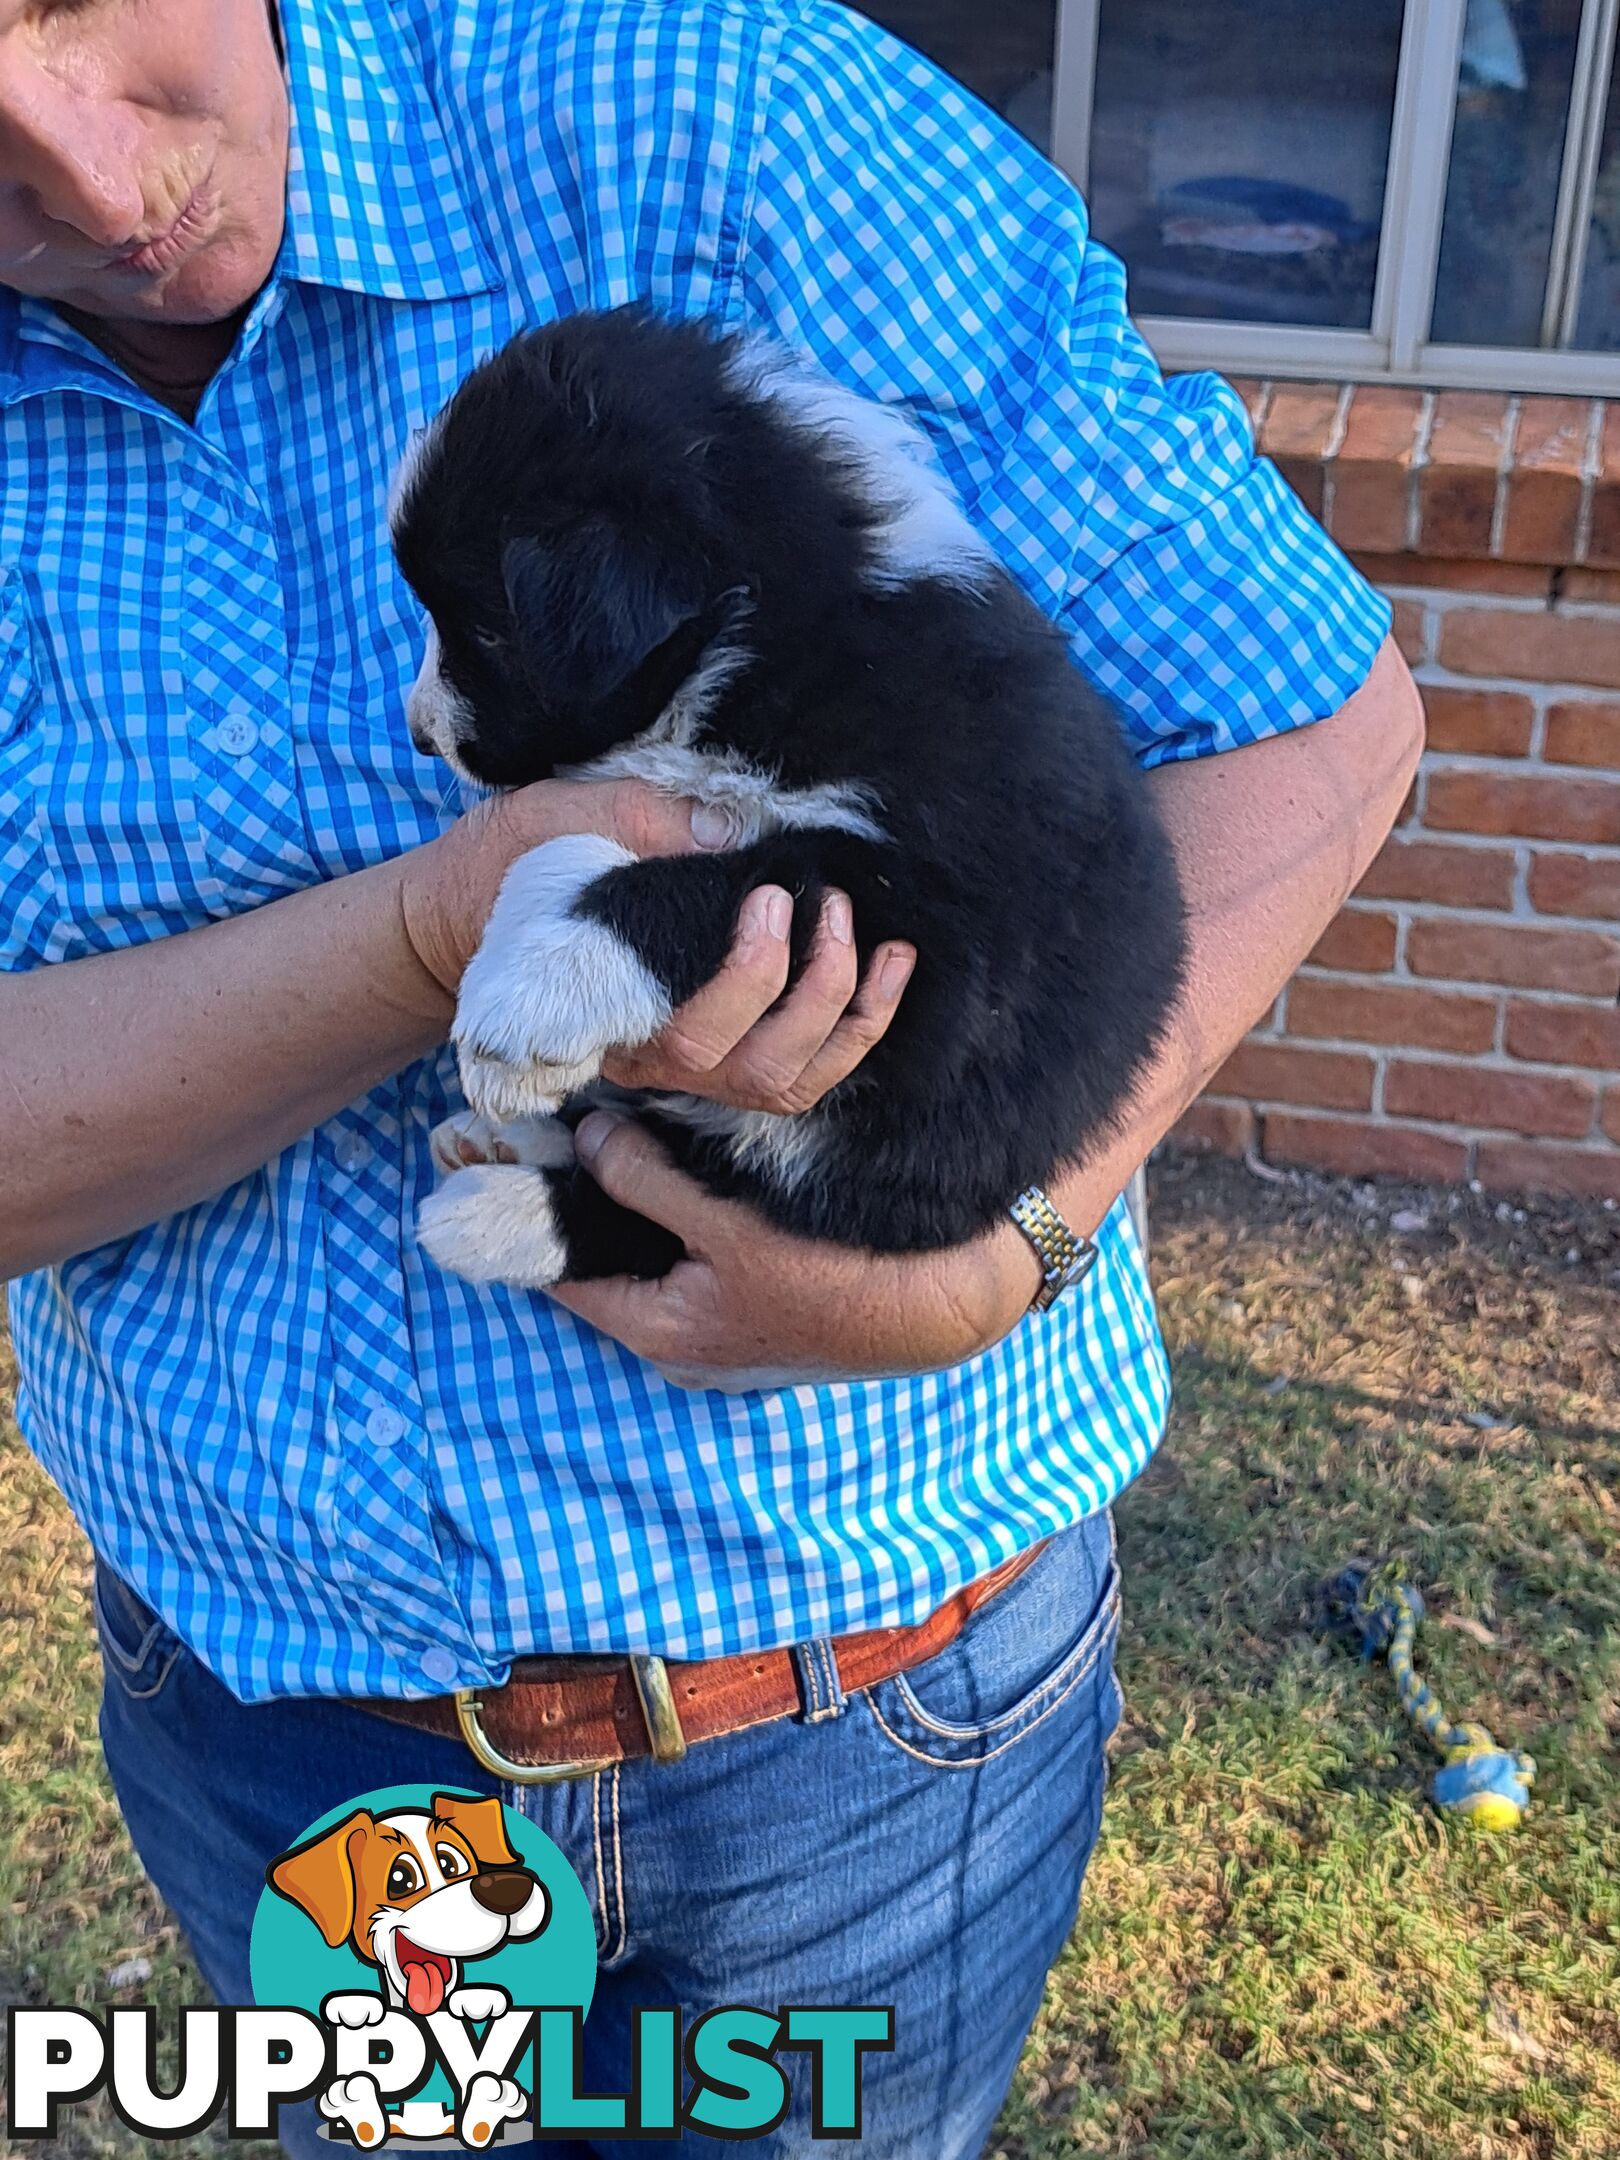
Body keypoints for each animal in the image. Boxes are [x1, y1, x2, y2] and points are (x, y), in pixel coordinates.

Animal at [388, 302, 1183, 1278]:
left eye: (488, 632)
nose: (420, 733)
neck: (764, 659)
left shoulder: (944, 941)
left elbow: (714, 878)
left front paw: (529, 1003)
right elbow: (555, 852)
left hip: (867, 1162)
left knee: (678, 1205)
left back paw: (494, 1214)